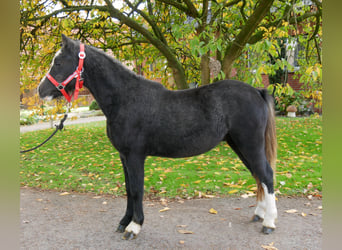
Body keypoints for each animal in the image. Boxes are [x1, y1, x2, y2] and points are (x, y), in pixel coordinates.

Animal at [38, 34, 278, 238]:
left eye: (58, 62)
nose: (41, 91)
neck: (125, 99)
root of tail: (257, 91)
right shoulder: (124, 156)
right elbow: (128, 189)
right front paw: (124, 222)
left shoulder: (135, 156)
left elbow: (137, 189)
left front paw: (134, 227)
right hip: (239, 145)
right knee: (258, 176)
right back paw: (259, 214)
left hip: (250, 145)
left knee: (266, 175)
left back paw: (269, 223)